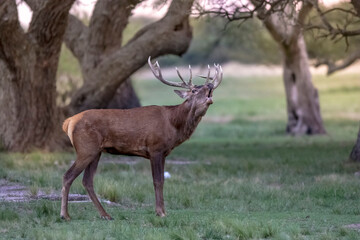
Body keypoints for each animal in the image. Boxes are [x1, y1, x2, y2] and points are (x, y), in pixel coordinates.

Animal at [60, 56, 222, 221]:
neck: (173, 124)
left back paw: (105, 215)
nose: (210, 85)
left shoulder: (164, 153)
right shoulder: (155, 148)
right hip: (86, 148)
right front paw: (160, 212)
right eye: (194, 90)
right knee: (68, 176)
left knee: (87, 181)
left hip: (96, 151)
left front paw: (163, 211)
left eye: (207, 87)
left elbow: (162, 180)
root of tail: (68, 122)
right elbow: (157, 181)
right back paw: (65, 215)